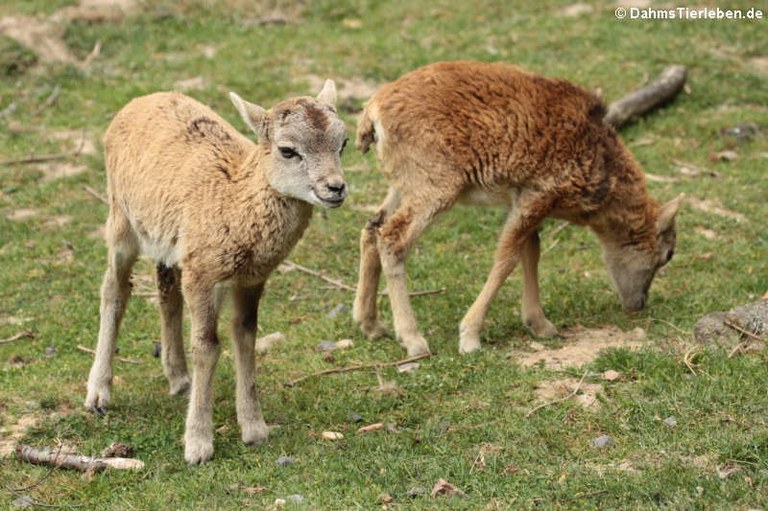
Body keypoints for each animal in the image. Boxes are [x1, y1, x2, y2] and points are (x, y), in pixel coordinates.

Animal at [85, 79, 348, 464]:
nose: (335, 187)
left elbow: (245, 335)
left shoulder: (252, 278)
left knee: (166, 291)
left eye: (343, 143)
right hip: (121, 220)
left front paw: (254, 429)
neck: (236, 201)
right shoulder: (202, 275)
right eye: (287, 150)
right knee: (114, 290)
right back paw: (98, 394)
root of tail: (140, 100)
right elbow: (208, 346)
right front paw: (198, 445)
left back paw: (179, 378)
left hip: (170, 244)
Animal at [352, 61, 680, 356]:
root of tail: (372, 115)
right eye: (667, 255)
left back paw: (371, 325)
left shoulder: (522, 200)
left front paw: (541, 325)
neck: (600, 166)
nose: (638, 304)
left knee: (372, 227)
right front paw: (470, 337)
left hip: (404, 185)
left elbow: (530, 250)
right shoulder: (538, 196)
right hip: (434, 187)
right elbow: (507, 258)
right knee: (393, 238)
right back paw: (413, 340)